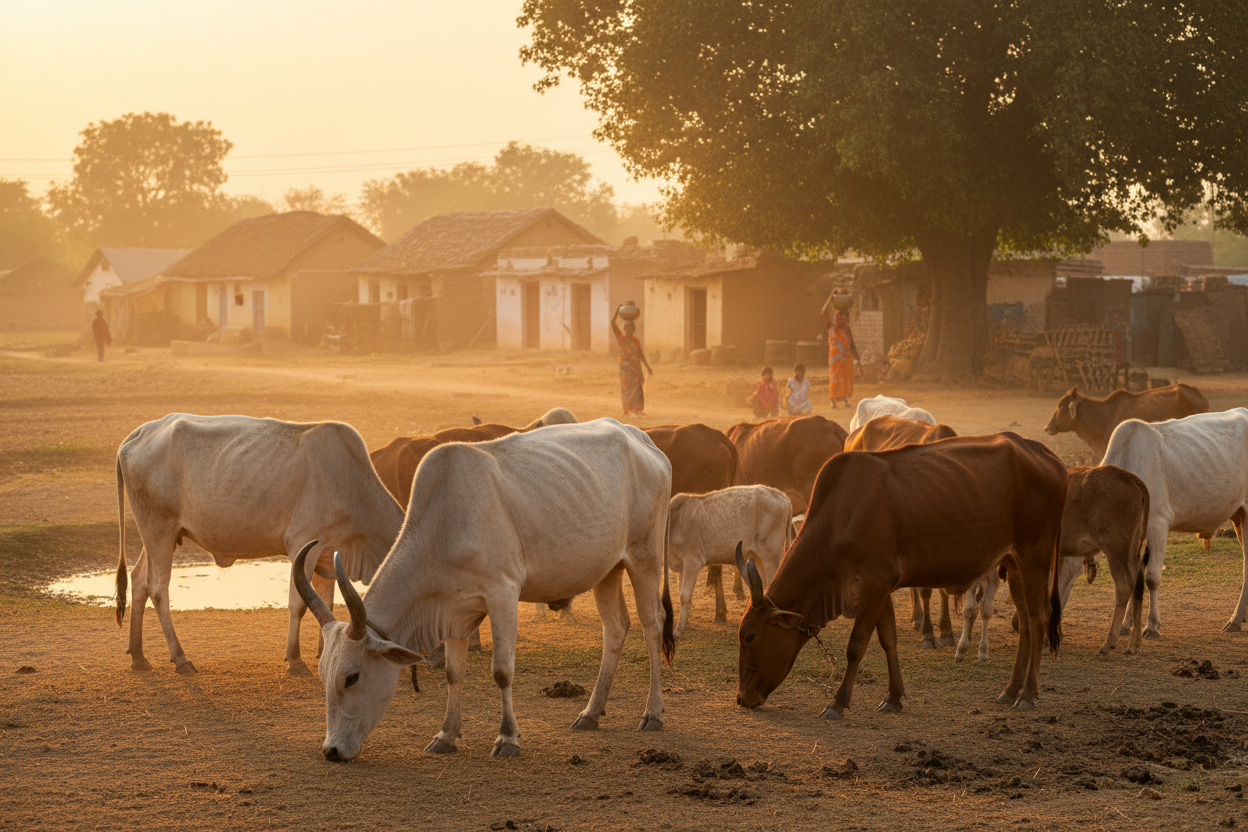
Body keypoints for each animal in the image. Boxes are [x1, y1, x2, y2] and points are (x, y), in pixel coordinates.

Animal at [113, 414, 404, 676]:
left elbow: (327, 604)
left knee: (138, 581)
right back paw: (181, 658)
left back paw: (138, 656)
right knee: (157, 588)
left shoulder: (330, 553)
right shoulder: (304, 544)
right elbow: (299, 604)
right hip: (158, 529)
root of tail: (142, 431)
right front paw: (295, 660)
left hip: (158, 535)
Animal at [294, 419, 675, 761]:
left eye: (352, 678)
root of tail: (641, 437)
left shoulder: (503, 594)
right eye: (324, 675)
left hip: (645, 557)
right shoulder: (454, 610)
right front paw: (446, 735)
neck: (443, 525)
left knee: (652, 625)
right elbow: (454, 673)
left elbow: (502, 671)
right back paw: (590, 714)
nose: (331, 751)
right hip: (607, 570)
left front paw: (507, 739)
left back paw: (653, 713)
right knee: (616, 628)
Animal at [667, 485, 792, 638]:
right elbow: (680, 593)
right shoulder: (681, 565)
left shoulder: (693, 561)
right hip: (758, 558)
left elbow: (685, 595)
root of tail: (779, 494)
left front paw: (678, 631)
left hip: (771, 554)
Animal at [1101, 409, 1248, 637]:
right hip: (1238, 515)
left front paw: (1152, 626)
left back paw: (1234, 621)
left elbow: (1152, 577)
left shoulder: (1158, 524)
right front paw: (1126, 625)